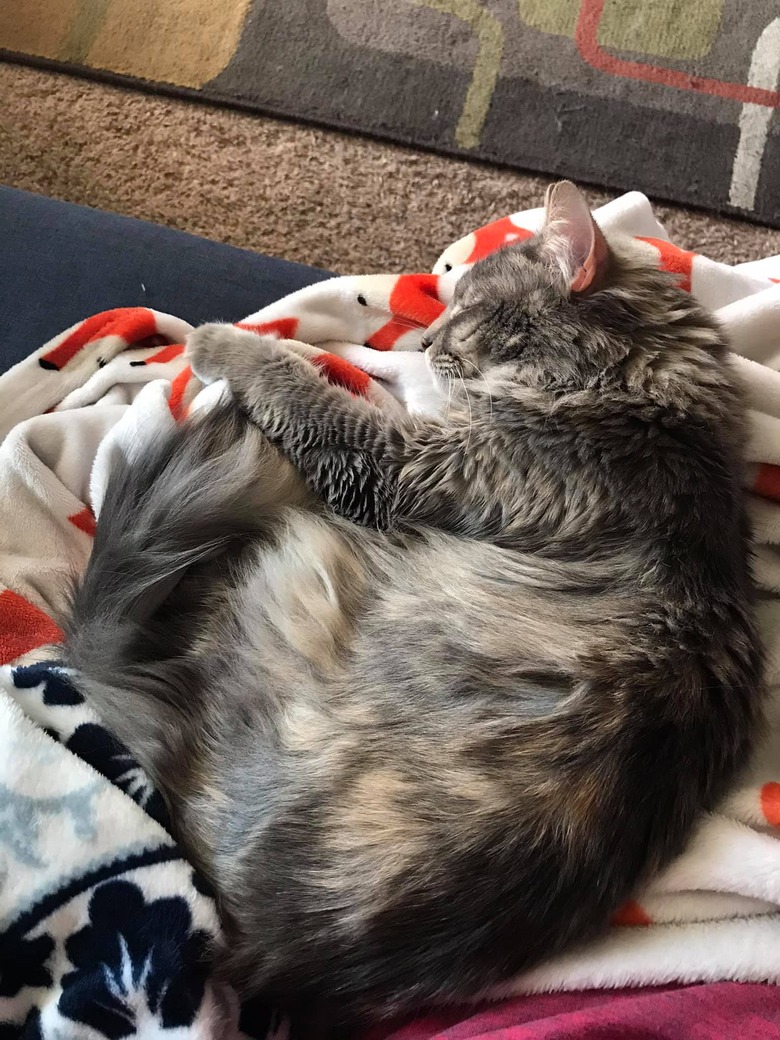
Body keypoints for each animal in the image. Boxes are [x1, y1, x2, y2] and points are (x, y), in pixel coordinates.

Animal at [64, 180, 765, 1023]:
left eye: (469, 311)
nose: (424, 341)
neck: (652, 408)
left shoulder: (403, 465)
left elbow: (297, 387)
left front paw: (222, 341)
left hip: (304, 557)